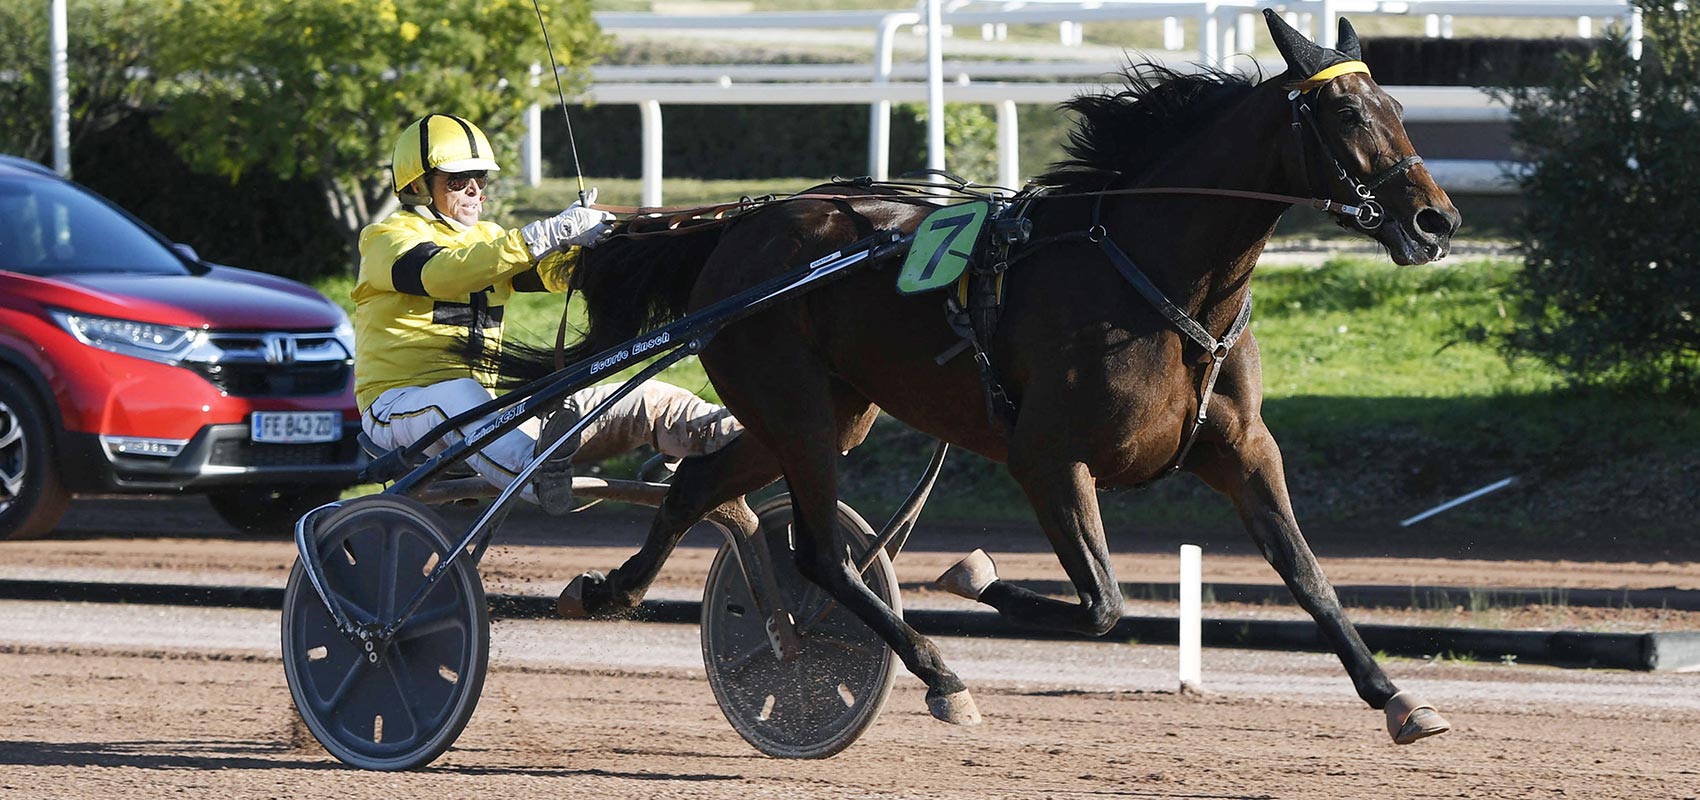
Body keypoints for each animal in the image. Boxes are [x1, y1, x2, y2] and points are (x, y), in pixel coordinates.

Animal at [496, 12, 1455, 747]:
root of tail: (731, 232)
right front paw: (978, 579)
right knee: (818, 552)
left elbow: (1309, 578)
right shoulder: (1047, 457)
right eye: (1345, 111)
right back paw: (940, 675)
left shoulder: (1244, 450)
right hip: (795, 409)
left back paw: (608, 589)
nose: (1434, 221)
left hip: (823, 415)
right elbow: (1101, 604)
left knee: (699, 485)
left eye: (1399, 106)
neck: (1151, 274)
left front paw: (1399, 699)